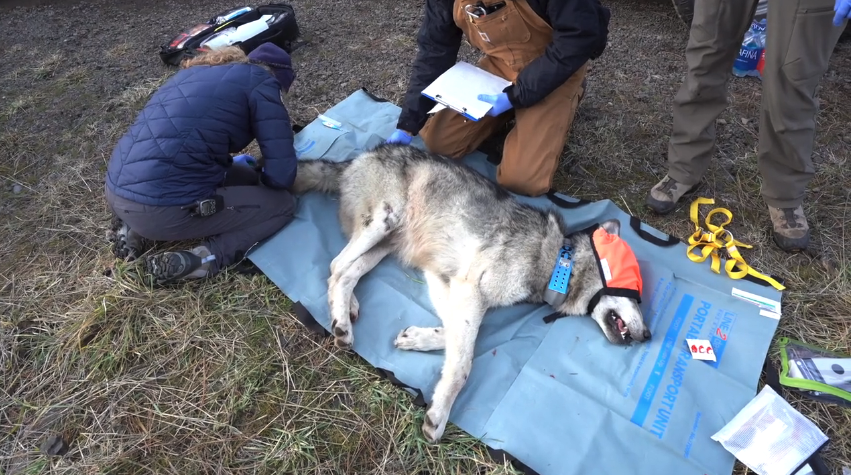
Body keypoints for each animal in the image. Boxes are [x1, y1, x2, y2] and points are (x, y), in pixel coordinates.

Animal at [291, 143, 652, 444]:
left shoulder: (445, 279)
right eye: (636, 289)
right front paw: (439, 414)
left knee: (344, 270)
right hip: (383, 222)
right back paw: (341, 324)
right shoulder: (469, 290)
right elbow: (464, 362)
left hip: (385, 246)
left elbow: (454, 335)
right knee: (337, 267)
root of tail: (358, 157)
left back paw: (346, 310)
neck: (558, 264)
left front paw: (417, 338)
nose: (649, 335)